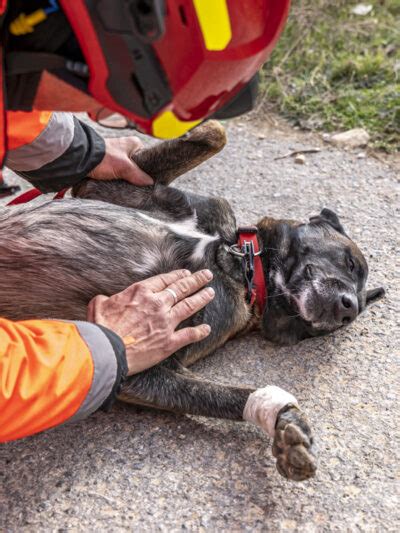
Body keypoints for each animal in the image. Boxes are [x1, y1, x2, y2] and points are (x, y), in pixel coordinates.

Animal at [0, 121, 382, 482]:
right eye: (350, 262)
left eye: (357, 310)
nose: (349, 307)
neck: (236, 260)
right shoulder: (101, 186)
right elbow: (216, 132)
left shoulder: (143, 368)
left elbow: (227, 395)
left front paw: (282, 421)